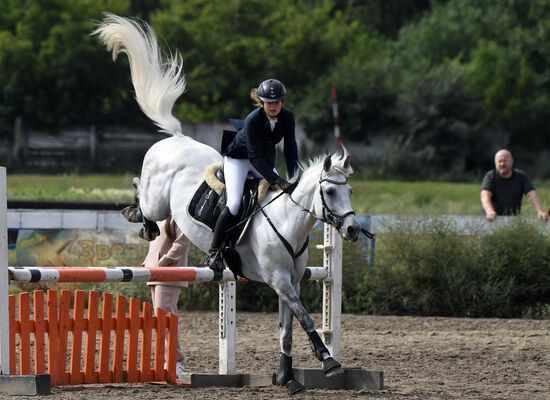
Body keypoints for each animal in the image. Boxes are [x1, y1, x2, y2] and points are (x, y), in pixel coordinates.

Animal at [95, 14, 362, 396]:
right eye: (329, 192)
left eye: (349, 190)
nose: (353, 229)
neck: (288, 222)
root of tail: (177, 137)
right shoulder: (279, 280)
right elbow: (306, 318)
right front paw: (328, 361)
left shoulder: (291, 282)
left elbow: (287, 331)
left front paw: (287, 377)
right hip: (157, 199)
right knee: (142, 195)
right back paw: (140, 220)